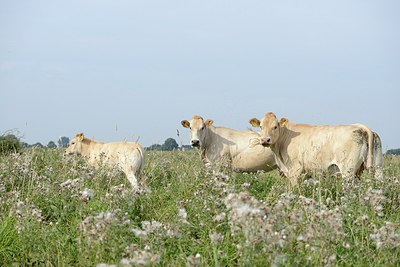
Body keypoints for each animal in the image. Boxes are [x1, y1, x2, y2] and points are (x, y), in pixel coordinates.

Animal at [248, 112, 382, 184]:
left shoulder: (295, 169)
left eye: (275, 126)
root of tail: (361, 127)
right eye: (260, 126)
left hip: (348, 170)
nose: (265, 140)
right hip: (377, 167)